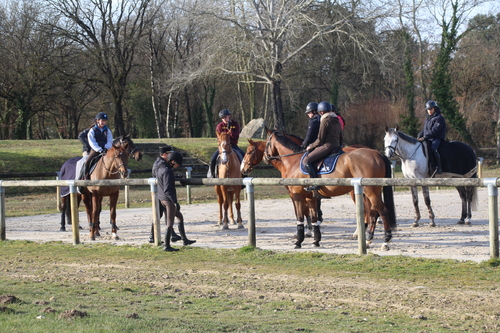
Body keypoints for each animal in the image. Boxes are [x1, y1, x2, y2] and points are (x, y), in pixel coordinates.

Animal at [241, 128, 394, 250]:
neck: (293, 161)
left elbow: (300, 216)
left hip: (369, 191)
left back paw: (385, 242)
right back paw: (368, 240)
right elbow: (314, 217)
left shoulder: (296, 195)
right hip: (370, 191)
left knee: (382, 211)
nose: (243, 169)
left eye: (249, 151)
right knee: (373, 212)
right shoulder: (310, 197)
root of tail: (377, 153)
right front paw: (316, 240)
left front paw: (299, 241)